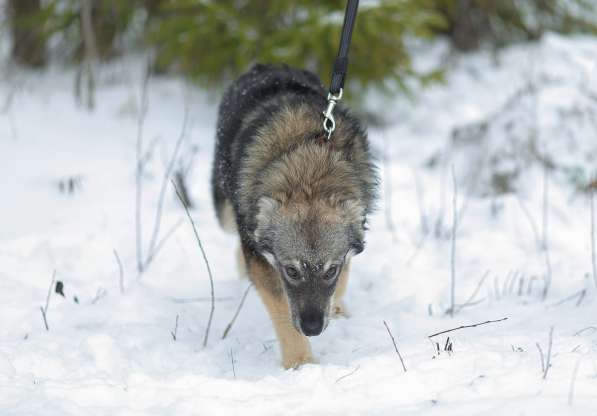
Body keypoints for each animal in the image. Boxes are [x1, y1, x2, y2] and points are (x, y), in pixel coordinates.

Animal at [212, 63, 374, 368]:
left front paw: (336, 308)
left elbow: (343, 278)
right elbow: (282, 314)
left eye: (330, 270)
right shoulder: (264, 261)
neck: (308, 173)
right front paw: (301, 363)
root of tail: (267, 65)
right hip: (225, 212)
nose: (313, 328)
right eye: (292, 271)